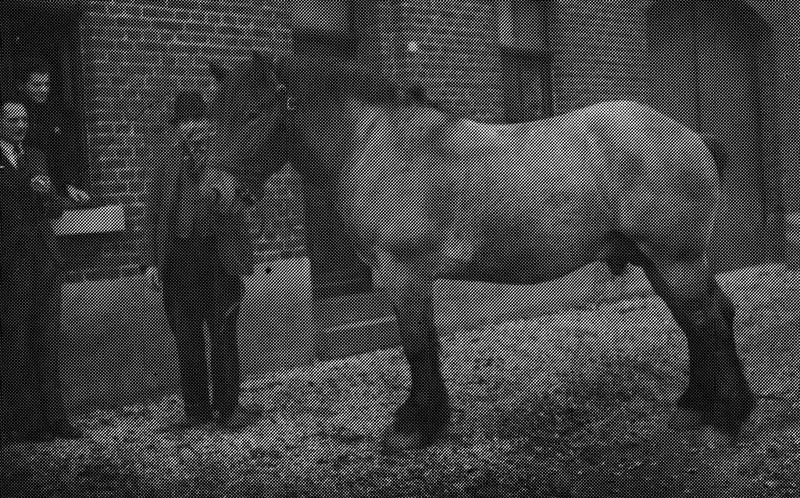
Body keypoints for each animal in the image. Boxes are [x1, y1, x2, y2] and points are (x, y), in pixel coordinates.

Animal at [202, 50, 754, 452]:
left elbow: (418, 345)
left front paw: (416, 428)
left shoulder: (403, 273)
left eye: (255, 112)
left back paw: (729, 417)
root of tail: (690, 137)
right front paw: (421, 419)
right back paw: (696, 403)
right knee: (700, 320)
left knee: (708, 319)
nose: (215, 193)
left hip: (676, 261)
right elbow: (423, 344)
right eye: (215, 114)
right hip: (658, 262)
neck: (378, 146)